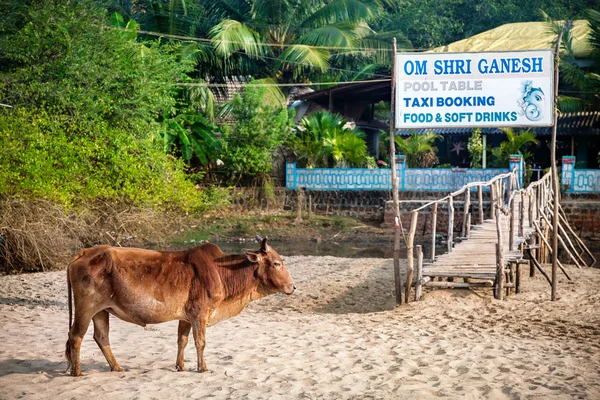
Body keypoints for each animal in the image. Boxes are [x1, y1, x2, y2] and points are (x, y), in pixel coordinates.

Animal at [64, 234, 294, 376]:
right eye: (276, 263)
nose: (292, 286)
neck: (222, 271)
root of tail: (84, 252)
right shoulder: (200, 314)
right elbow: (200, 342)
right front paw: (203, 368)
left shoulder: (186, 317)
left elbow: (182, 341)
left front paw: (180, 366)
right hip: (86, 307)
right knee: (76, 336)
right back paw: (77, 372)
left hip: (101, 310)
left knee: (101, 337)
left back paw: (117, 367)